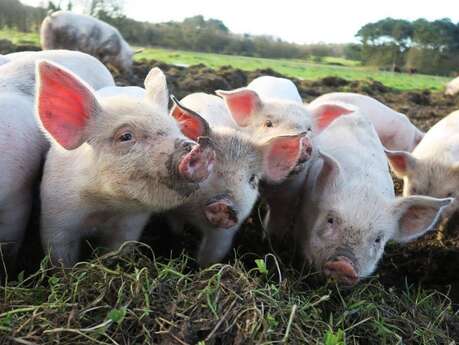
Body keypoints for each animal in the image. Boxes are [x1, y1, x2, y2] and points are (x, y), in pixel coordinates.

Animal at [36, 62, 216, 266]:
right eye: (125, 136)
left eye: (177, 129)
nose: (198, 146)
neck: (104, 206)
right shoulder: (56, 216)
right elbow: (60, 255)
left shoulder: (130, 224)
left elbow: (118, 249)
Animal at [167, 94, 308, 266]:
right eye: (210, 163)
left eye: (253, 179)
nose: (225, 204)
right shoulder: (175, 209)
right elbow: (175, 229)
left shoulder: (225, 232)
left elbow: (211, 256)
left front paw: (203, 269)